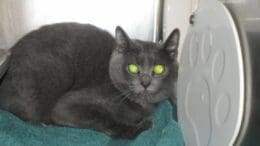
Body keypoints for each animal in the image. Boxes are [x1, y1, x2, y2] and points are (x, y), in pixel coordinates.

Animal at [0, 22, 179, 139]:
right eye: (133, 68)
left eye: (159, 69)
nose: (145, 82)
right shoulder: (66, 105)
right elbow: (104, 119)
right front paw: (141, 127)